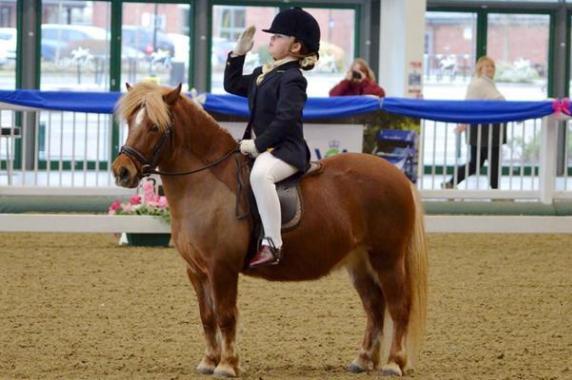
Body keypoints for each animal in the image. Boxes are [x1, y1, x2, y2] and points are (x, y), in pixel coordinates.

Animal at [111, 82, 426, 378]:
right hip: (359, 262)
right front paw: (208, 361)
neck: (204, 185)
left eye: (154, 126)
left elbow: (225, 315)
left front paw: (227, 365)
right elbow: (207, 316)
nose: (121, 171)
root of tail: (398, 175)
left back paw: (394, 363)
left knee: (398, 307)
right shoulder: (197, 271)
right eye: (130, 122)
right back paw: (362, 360)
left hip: (387, 259)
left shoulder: (221, 268)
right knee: (374, 307)